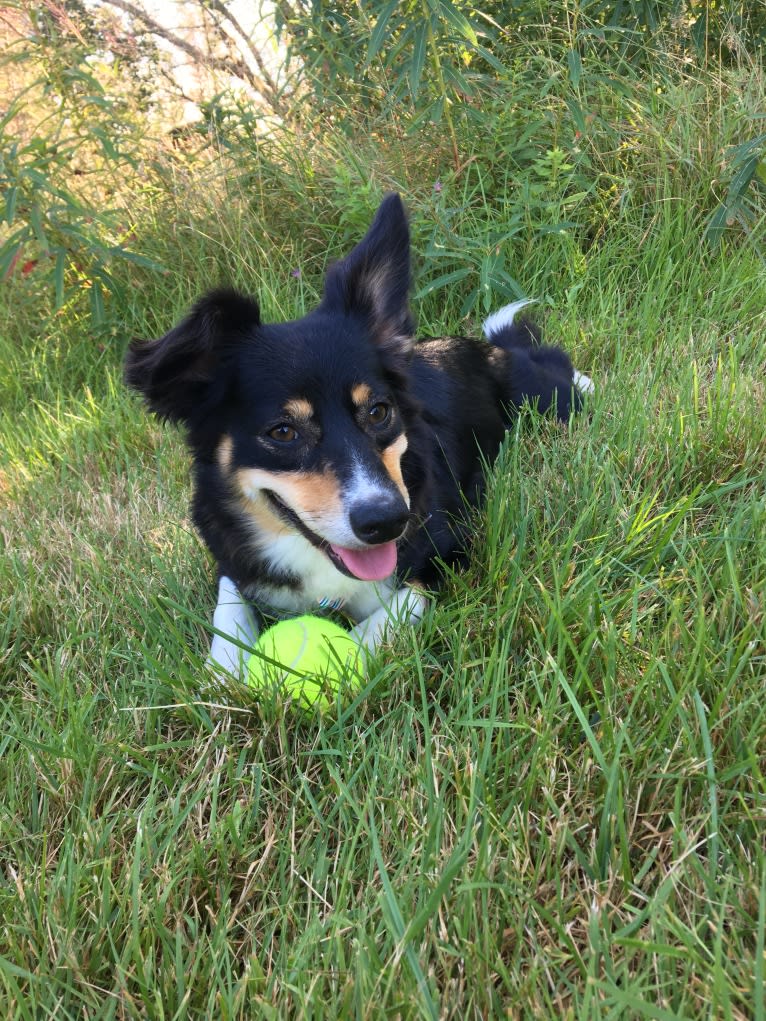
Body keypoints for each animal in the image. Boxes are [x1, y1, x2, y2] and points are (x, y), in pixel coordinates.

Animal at [126, 196, 592, 682]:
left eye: (378, 411)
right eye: (283, 431)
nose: (387, 522)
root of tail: (485, 348)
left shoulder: (450, 553)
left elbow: (379, 622)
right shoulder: (230, 560)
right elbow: (228, 611)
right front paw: (223, 674)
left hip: (543, 398)